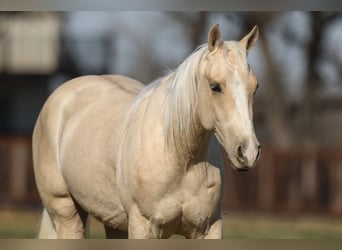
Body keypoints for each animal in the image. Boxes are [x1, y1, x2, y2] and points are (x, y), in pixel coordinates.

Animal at [33, 24, 260, 239]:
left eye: (255, 87)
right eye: (215, 86)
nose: (248, 152)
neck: (182, 158)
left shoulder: (210, 228)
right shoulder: (143, 226)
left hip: (114, 222)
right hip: (66, 213)